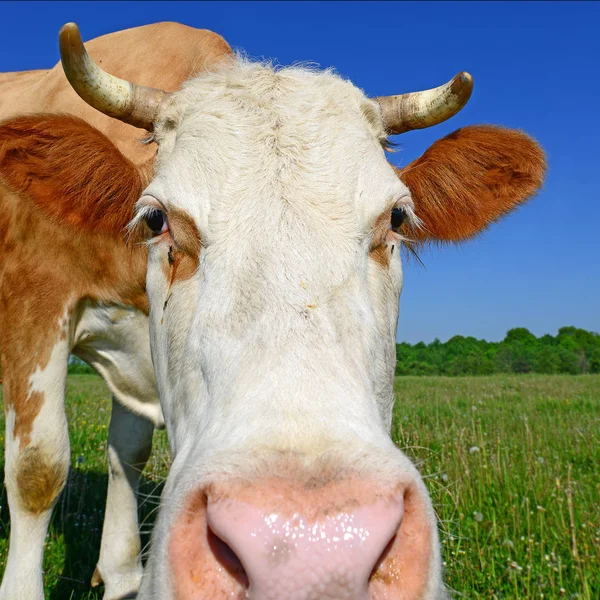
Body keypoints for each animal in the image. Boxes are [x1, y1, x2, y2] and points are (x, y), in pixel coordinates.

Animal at [0, 21, 548, 600]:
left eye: (397, 218)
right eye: (155, 219)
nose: (309, 552)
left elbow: (126, 453)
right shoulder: (35, 302)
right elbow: (38, 469)